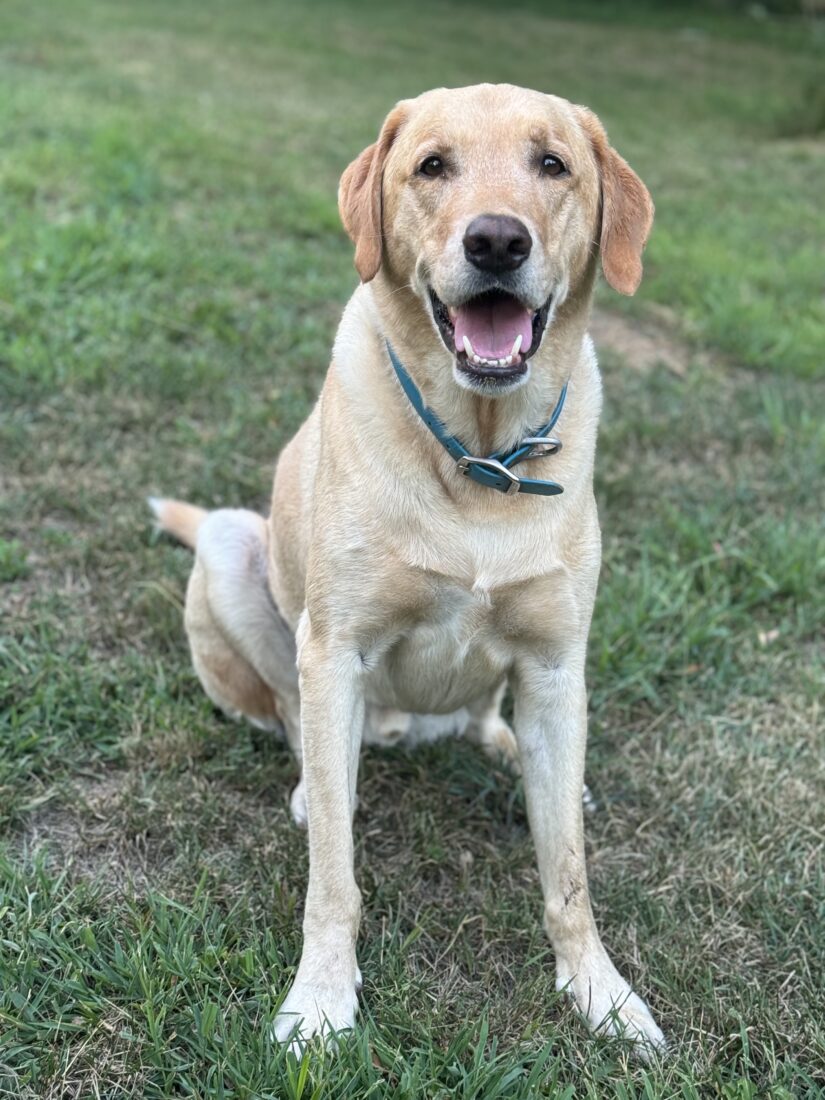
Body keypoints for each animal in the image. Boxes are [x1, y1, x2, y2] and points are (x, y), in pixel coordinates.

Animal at [150, 81, 664, 1051]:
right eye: (431, 166)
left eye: (552, 164)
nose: (496, 241)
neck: (480, 457)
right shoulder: (335, 647)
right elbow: (333, 880)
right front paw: (320, 996)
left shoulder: (556, 663)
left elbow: (569, 878)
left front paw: (601, 990)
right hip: (236, 551)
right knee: (296, 724)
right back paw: (319, 786)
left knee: (492, 723)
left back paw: (515, 754)